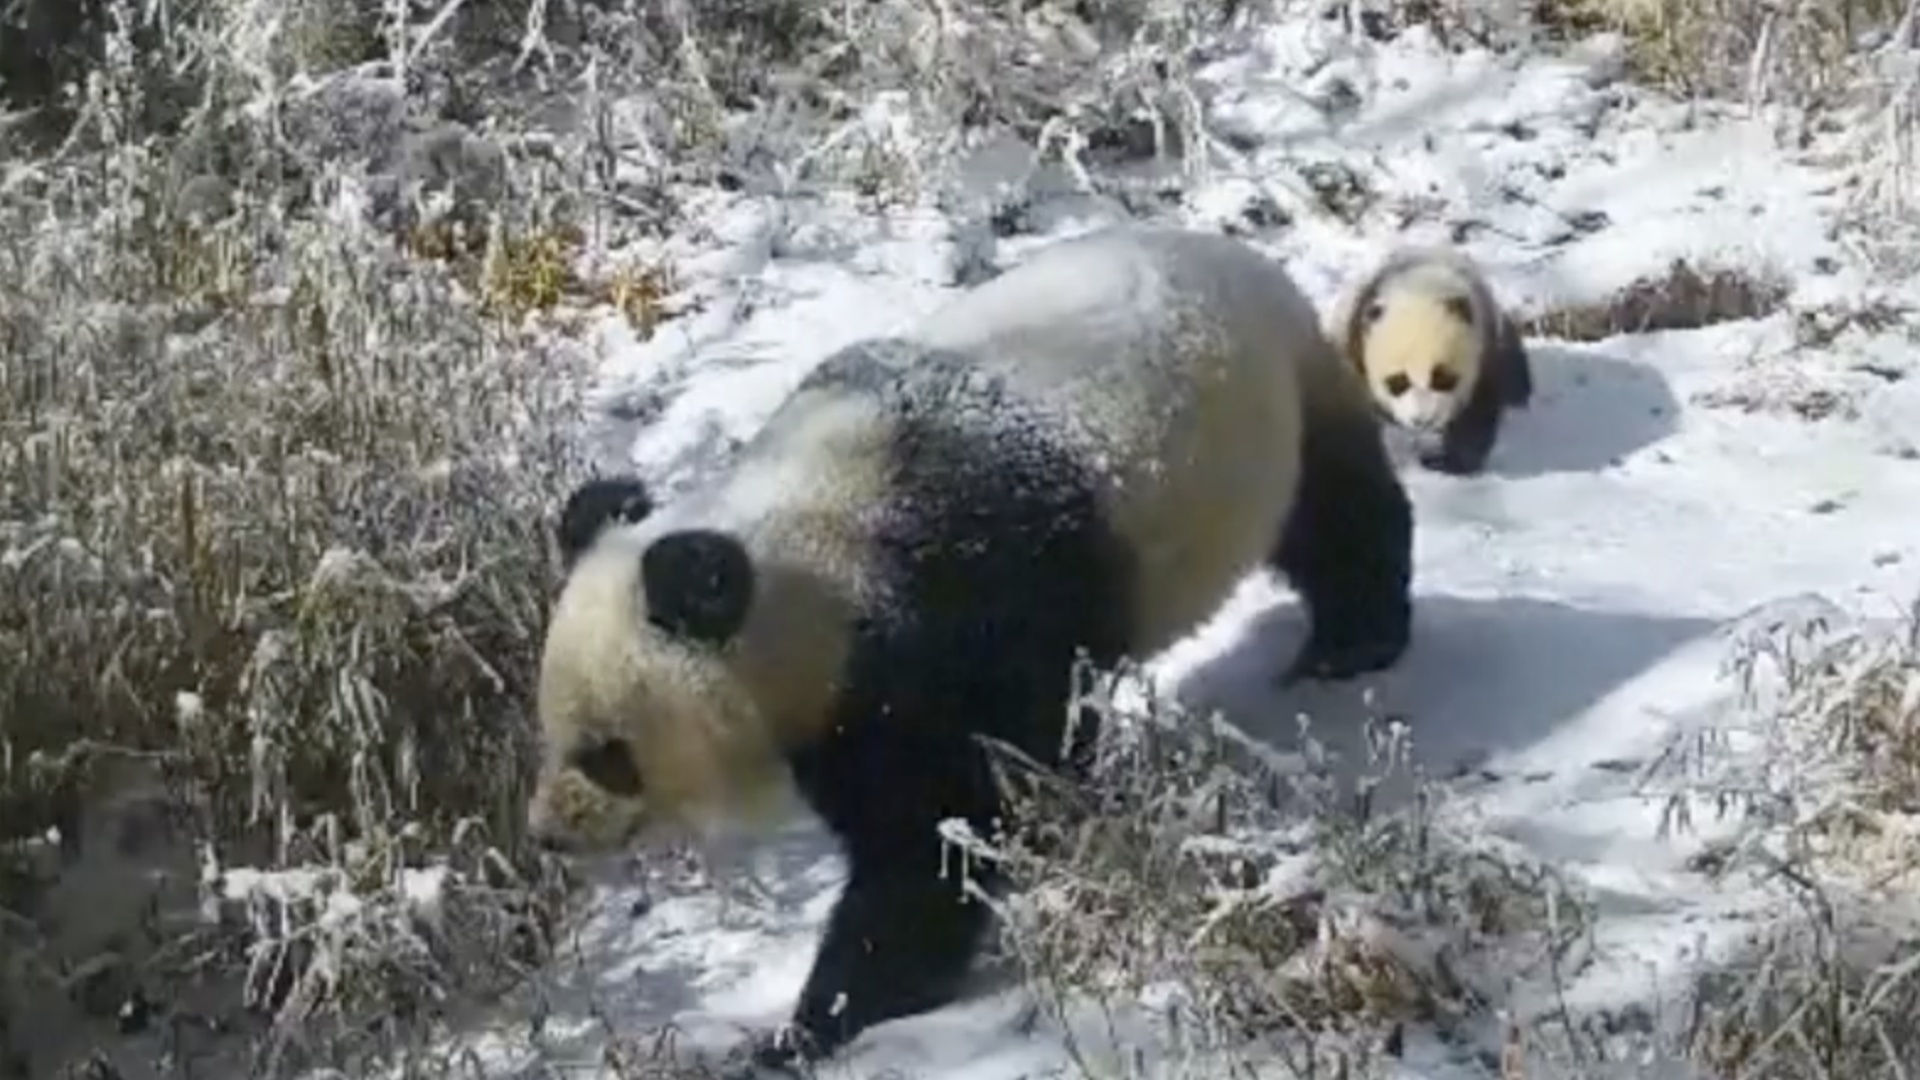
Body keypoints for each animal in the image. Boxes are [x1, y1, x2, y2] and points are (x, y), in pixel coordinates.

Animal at [528, 225, 1415, 1073]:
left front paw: (809, 1029)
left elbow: (943, 835)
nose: (547, 834)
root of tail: (1233, 253)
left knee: (1340, 518)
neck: (816, 561)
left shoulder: (956, 618)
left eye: (608, 753)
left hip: (1281, 406)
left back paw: (1349, 647)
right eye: (551, 735)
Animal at [1329, 245, 1533, 476]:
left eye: (1442, 377)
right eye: (1398, 381)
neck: (1419, 288)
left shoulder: (1484, 350)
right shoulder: (1352, 342)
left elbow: (1476, 415)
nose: (1422, 420)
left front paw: (1450, 462)